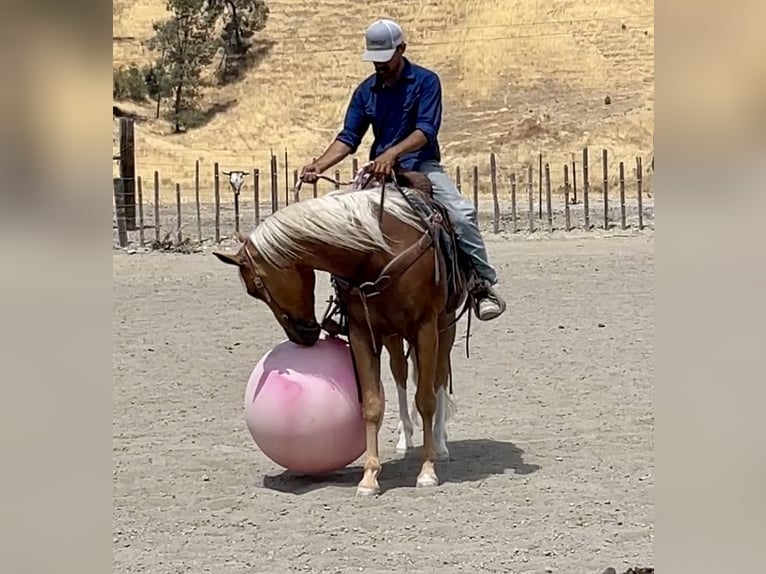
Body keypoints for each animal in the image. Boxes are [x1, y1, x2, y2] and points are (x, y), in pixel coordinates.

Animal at [214, 169, 474, 498]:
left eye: (255, 287)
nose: (302, 337)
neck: (376, 251)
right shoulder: (362, 332)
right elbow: (372, 404)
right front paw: (370, 477)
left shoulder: (426, 327)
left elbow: (426, 398)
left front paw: (427, 471)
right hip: (392, 335)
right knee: (401, 373)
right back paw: (405, 438)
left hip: (446, 324)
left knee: (438, 378)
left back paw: (439, 443)